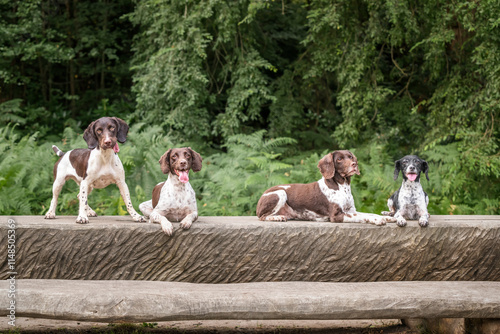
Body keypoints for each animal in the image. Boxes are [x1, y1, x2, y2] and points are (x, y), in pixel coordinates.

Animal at [258, 151, 394, 224]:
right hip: (281, 193)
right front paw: (377, 220)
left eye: (350, 157)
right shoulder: (336, 215)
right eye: (339, 159)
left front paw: (387, 217)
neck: (342, 187)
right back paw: (278, 217)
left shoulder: (351, 210)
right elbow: (363, 216)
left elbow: (370, 213)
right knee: (262, 217)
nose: (354, 164)